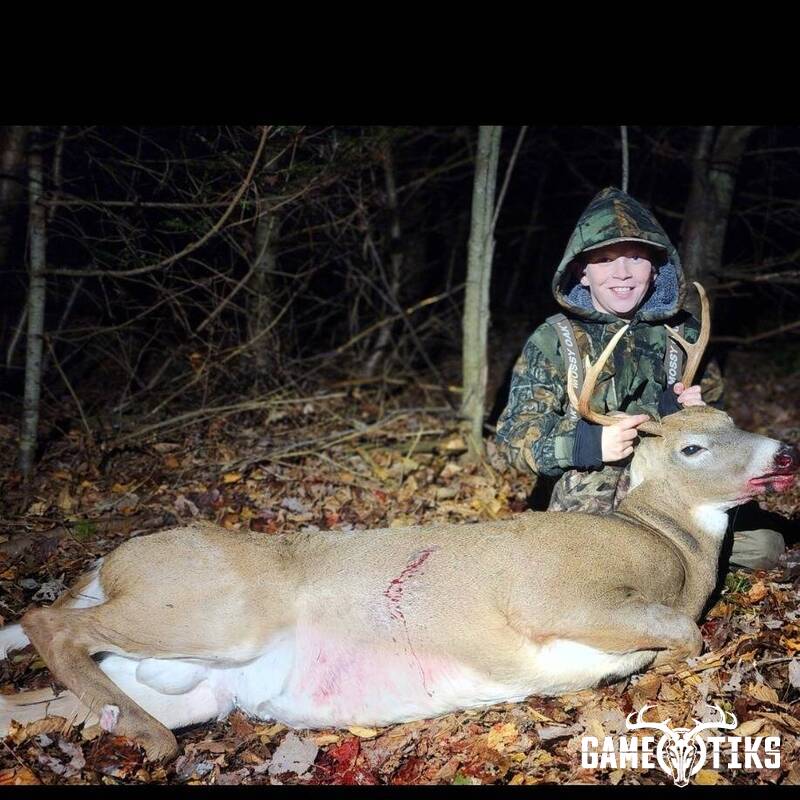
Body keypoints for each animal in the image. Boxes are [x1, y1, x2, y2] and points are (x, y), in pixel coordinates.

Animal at [0, 284, 796, 762]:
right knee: (47, 623)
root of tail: (105, 566)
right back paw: (151, 740)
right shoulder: (558, 598)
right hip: (210, 608)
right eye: (693, 447)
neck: (668, 545)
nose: (782, 451)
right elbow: (683, 632)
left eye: (728, 417)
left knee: (38, 695)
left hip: (193, 681)